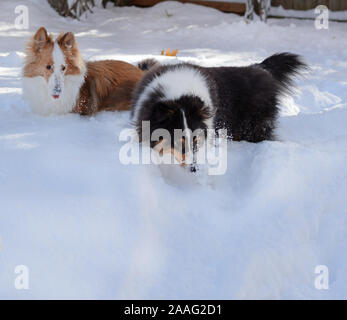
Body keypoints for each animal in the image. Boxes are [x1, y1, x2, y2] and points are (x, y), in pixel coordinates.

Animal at [133, 53, 308, 165]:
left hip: (253, 126)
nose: (193, 168)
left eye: (195, 139)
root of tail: (260, 69)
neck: (179, 94)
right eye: (177, 140)